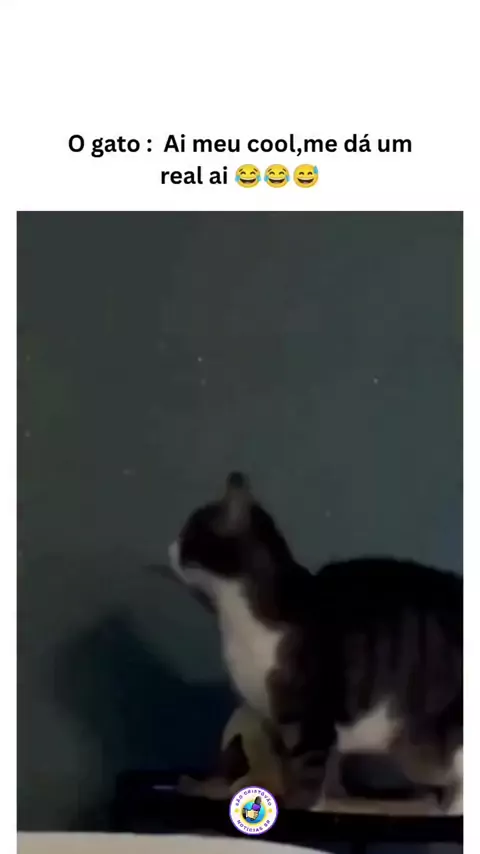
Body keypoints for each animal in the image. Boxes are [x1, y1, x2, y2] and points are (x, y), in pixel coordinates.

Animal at [168, 472, 463, 814]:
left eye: (189, 532)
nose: (169, 547)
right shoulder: (287, 725)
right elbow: (319, 770)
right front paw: (332, 800)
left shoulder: (310, 717)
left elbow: (307, 771)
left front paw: (301, 807)